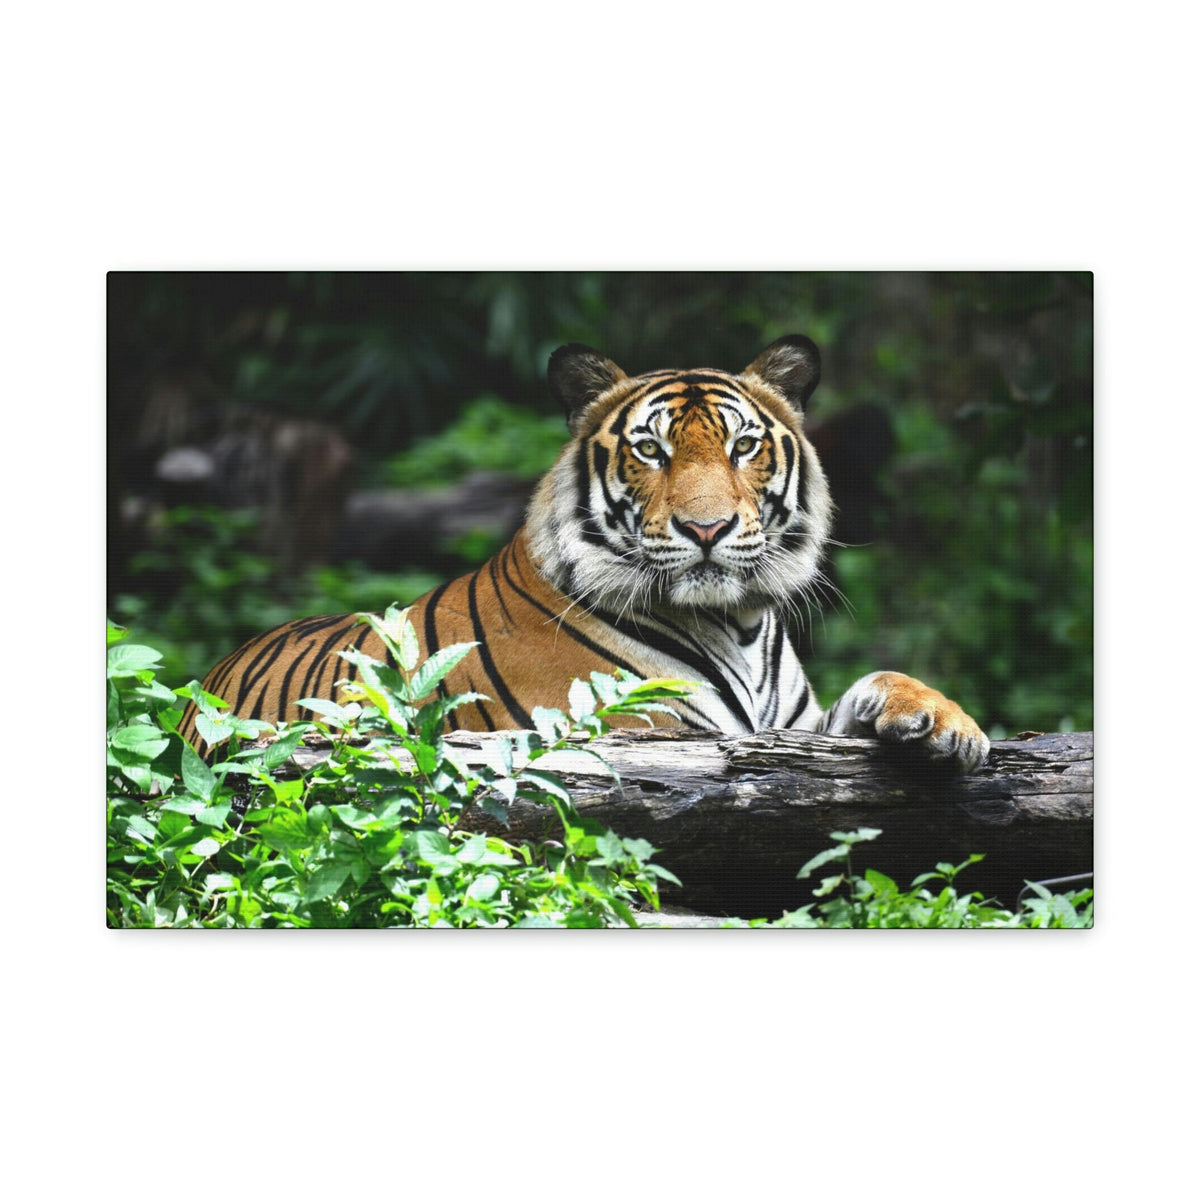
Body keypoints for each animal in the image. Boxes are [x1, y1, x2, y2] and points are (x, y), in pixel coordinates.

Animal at [179, 335, 989, 772]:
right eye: (651, 450)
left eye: (743, 446)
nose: (706, 529)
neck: (739, 623)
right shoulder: (640, 732)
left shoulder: (795, 730)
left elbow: (879, 681)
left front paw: (946, 724)